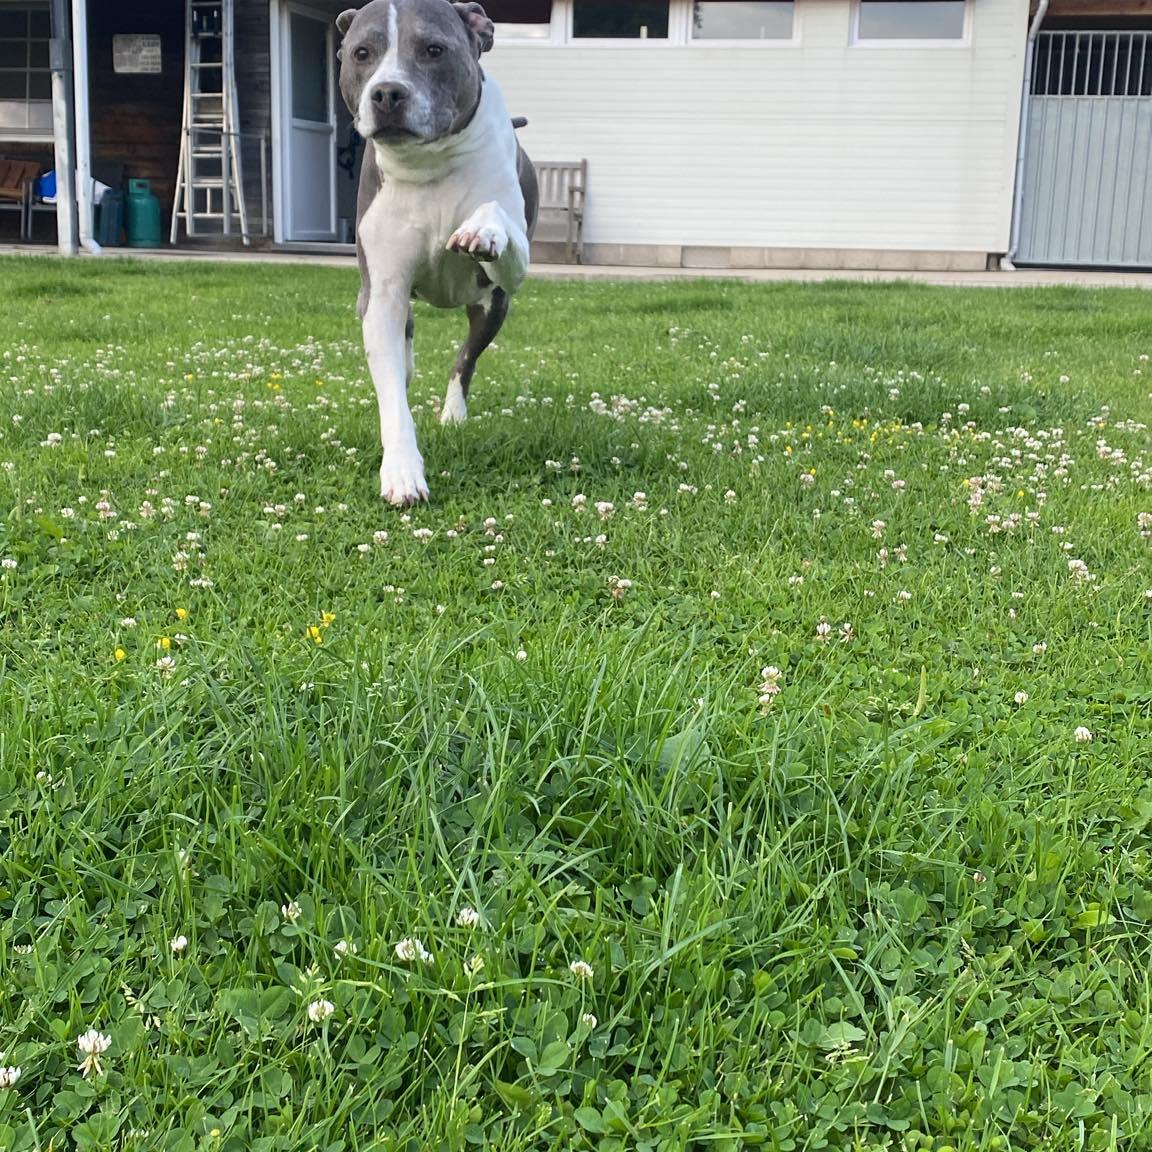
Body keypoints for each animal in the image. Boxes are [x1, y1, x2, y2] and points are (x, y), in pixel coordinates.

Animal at [336, 0, 538, 504]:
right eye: (362, 53)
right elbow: (391, 394)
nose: (387, 92)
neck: (429, 163)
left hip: (492, 308)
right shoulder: (383, 291)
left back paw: (453, 413)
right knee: (404, 346)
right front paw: (402, 471)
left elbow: (494, 216)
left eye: (433, 49)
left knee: (464, 360)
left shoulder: (516, 266)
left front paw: (482, 228)